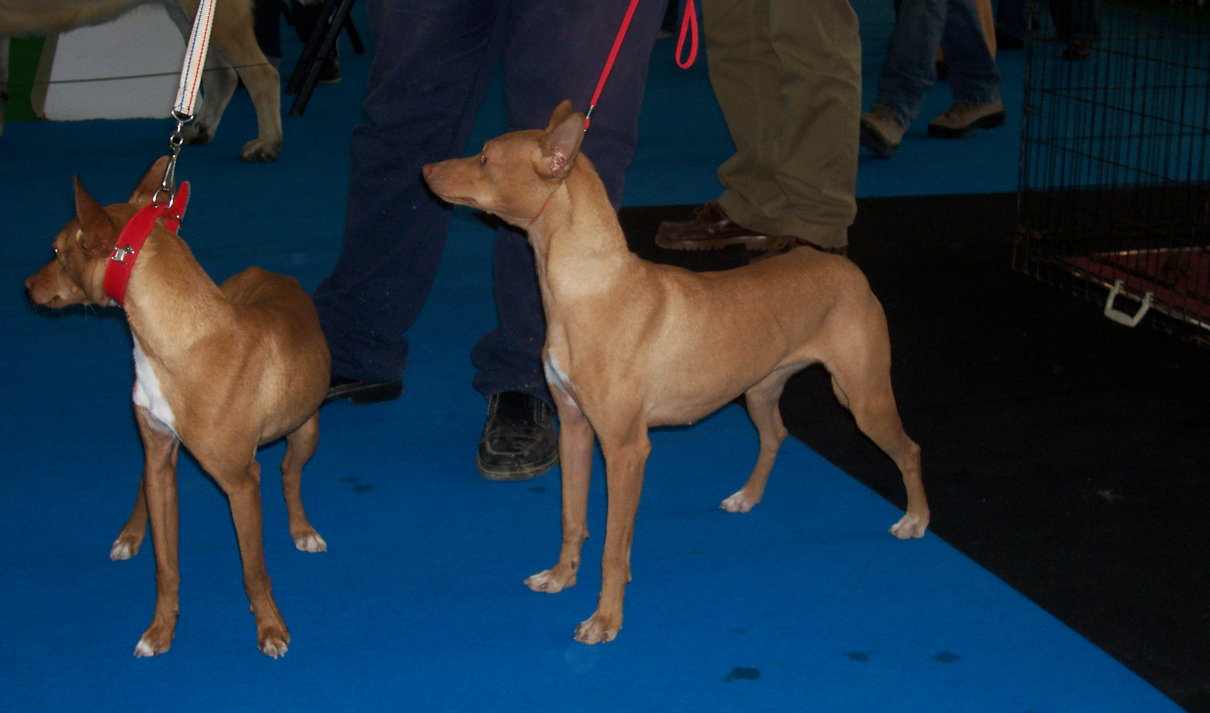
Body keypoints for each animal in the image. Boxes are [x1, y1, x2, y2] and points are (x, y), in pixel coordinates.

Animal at [27, 157, 331, 658]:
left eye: (55, 250)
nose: (27, 285)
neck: (181, 341)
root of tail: (273, 272)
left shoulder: (242, 482)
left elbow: (254, 568)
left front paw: (269, 625)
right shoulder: (161, 459)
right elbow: (165, 565)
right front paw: (160, 630)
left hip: (306, 429)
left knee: (290, 473)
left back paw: (301, 528)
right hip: (160, 457)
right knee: (144, 483)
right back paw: (130, 533)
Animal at [421, 101, 929, 644]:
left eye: (485, 158)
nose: (426, 169)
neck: (589, 289)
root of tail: (845, 267)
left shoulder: (626, 449)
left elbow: (612, 547)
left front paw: (606, 619)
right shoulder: (575, 427)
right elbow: (572, 518)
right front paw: (560, 576)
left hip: (863, 397)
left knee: (908, 450)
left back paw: (915, 519)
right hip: (759, 389)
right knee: (776, 434)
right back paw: (748, 496)